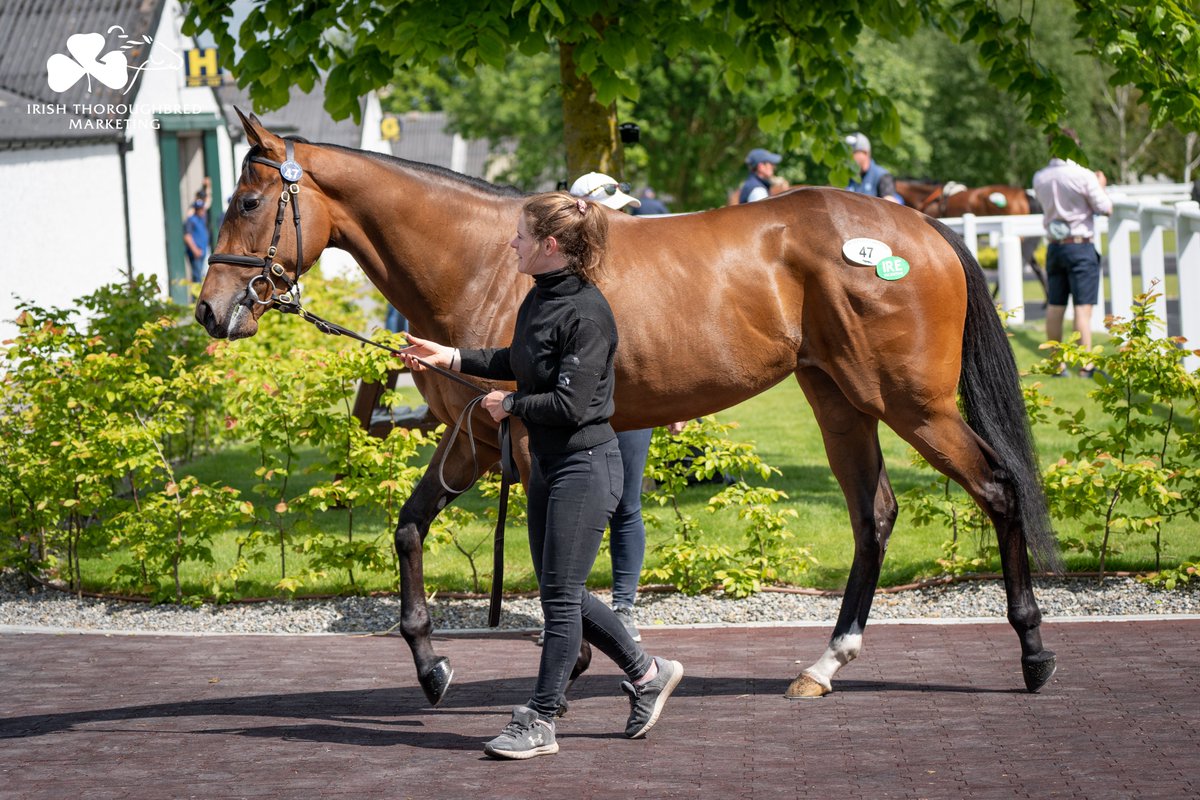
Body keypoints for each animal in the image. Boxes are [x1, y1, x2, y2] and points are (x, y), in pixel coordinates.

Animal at [196, 112, 1060, 705]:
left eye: (249, 199)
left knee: (997, 488)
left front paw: (574, 658)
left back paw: (1032, 653)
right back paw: (824, 664)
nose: (211, 311)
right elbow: (411, 529)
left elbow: (542, 554)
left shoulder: (516, 439)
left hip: (912, 402)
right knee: (873, 513)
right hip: (841, 398)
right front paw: (436, 664)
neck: (485, 264)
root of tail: (922, 224)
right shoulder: (479, 439)